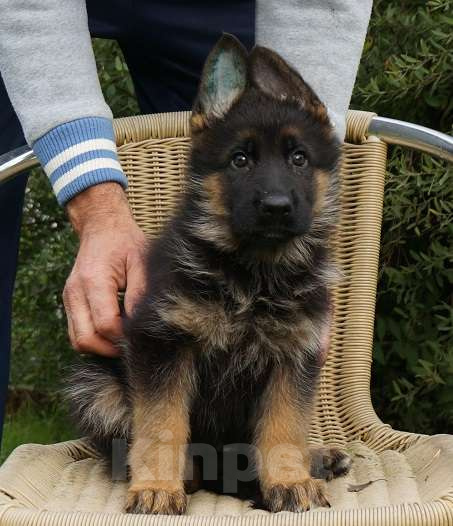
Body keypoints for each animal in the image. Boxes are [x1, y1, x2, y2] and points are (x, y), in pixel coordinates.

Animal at [66, 33, 350, 516]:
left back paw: (316, 458)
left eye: (299, 158)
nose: (276, 207)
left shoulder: (296, 356)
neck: (254, 274)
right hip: (96, 387)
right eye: (239, 160)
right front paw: (157, 487)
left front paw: (289, 480)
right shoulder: (163, 344)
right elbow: (161, 425)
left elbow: (284, 425)